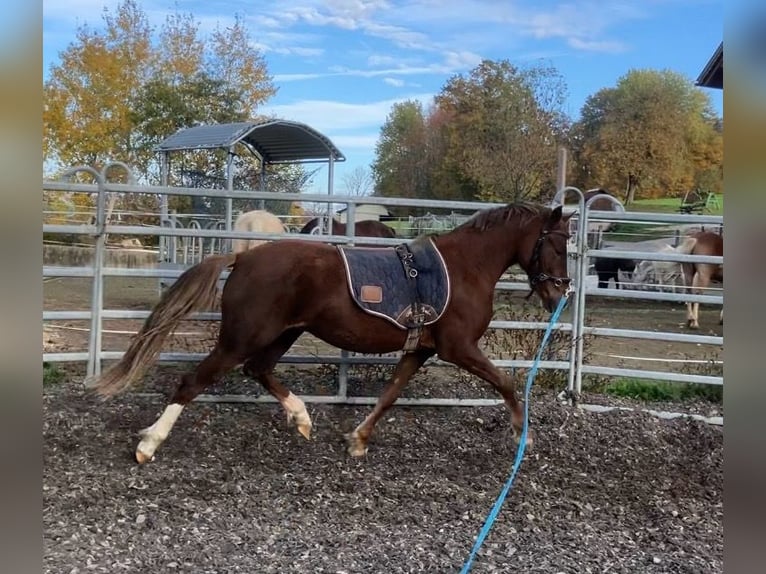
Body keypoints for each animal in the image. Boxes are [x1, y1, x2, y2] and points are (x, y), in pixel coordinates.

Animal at [90, 202, 572, 464]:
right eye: (559, 244)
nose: (560, 293)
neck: (464, 269)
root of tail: (243, 258)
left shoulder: (420, 350)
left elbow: (390, 394)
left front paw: (357, 440)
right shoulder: (459, 347)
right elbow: (506, 382)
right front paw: (522, 435)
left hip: (281, 335)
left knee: (258, 370)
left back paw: (302, 419)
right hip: (241, 338)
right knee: (194, 382)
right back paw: (149, 445)